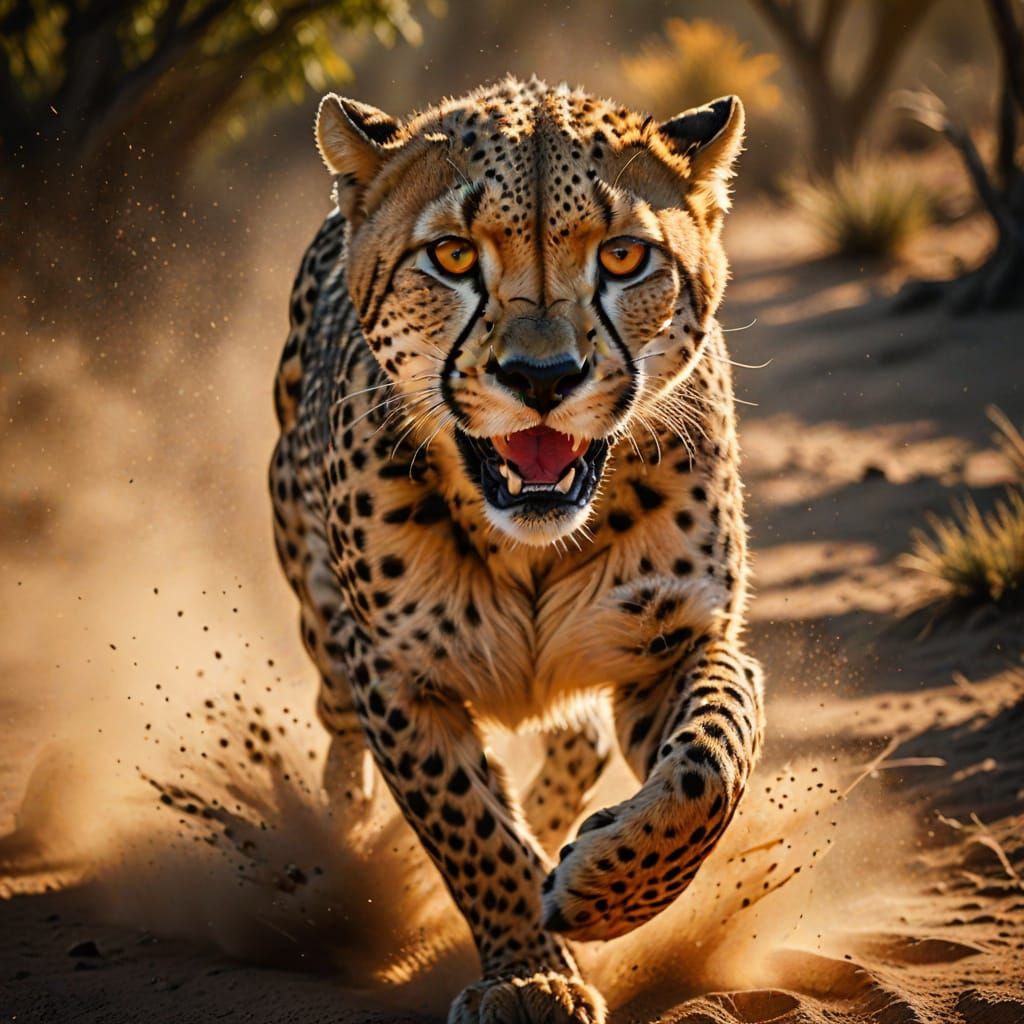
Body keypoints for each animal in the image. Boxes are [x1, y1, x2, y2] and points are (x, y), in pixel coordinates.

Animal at [270, 76, 765, 1024]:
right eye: (454, 257)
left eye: (623, 258)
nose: (543, 378)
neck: (529, 543)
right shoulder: (397, 677)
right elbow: (469, 829)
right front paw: (531, 975)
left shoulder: (680, 643)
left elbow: (710, 766)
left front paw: (602, 893)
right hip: (315, 607)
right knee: (338, 731)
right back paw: (348, 845)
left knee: (580, 739)